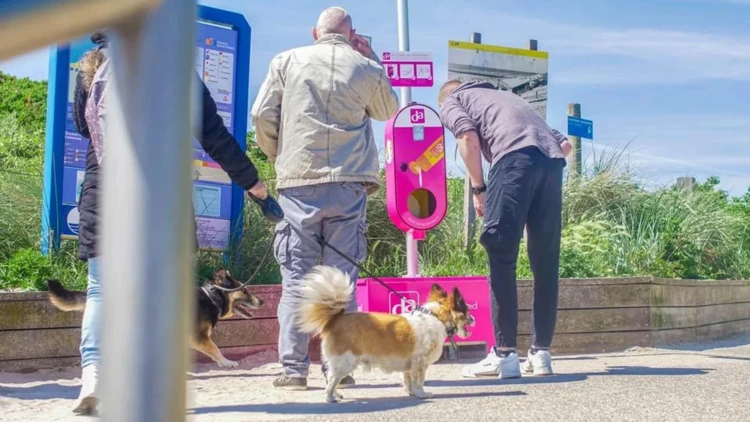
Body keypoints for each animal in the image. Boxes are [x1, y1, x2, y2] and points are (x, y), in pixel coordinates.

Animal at [45, 268, 264, 368]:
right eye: (244, 290)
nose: (262, 301)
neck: (212, 296)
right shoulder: (200, 338)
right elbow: (216, 350)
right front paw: (227, 363)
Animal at [296, 268, 472, 402]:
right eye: (467, 311)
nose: (473, 319)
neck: (437, 317)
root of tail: (337, 318)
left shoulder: (409, 365)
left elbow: (408, 379)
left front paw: (411, 392)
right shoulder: (420, 363)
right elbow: (419, 381)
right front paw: (421, 394)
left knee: (331, 376)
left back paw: (336, 394)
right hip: (346, 361)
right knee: (332, 380)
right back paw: (330, 397)